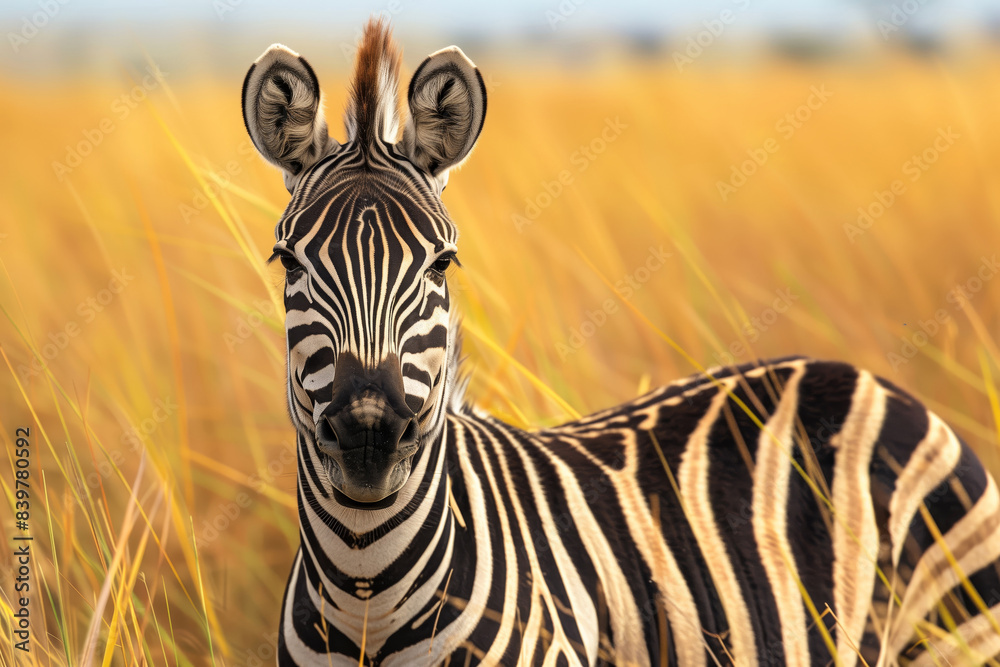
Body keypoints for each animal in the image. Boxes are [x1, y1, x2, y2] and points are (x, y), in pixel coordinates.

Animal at [240, 18, 1000, 667]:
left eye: (442, 264)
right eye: (288, 262)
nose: (369, 432)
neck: (364, 595)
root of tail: (857, 375)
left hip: (955, 629)